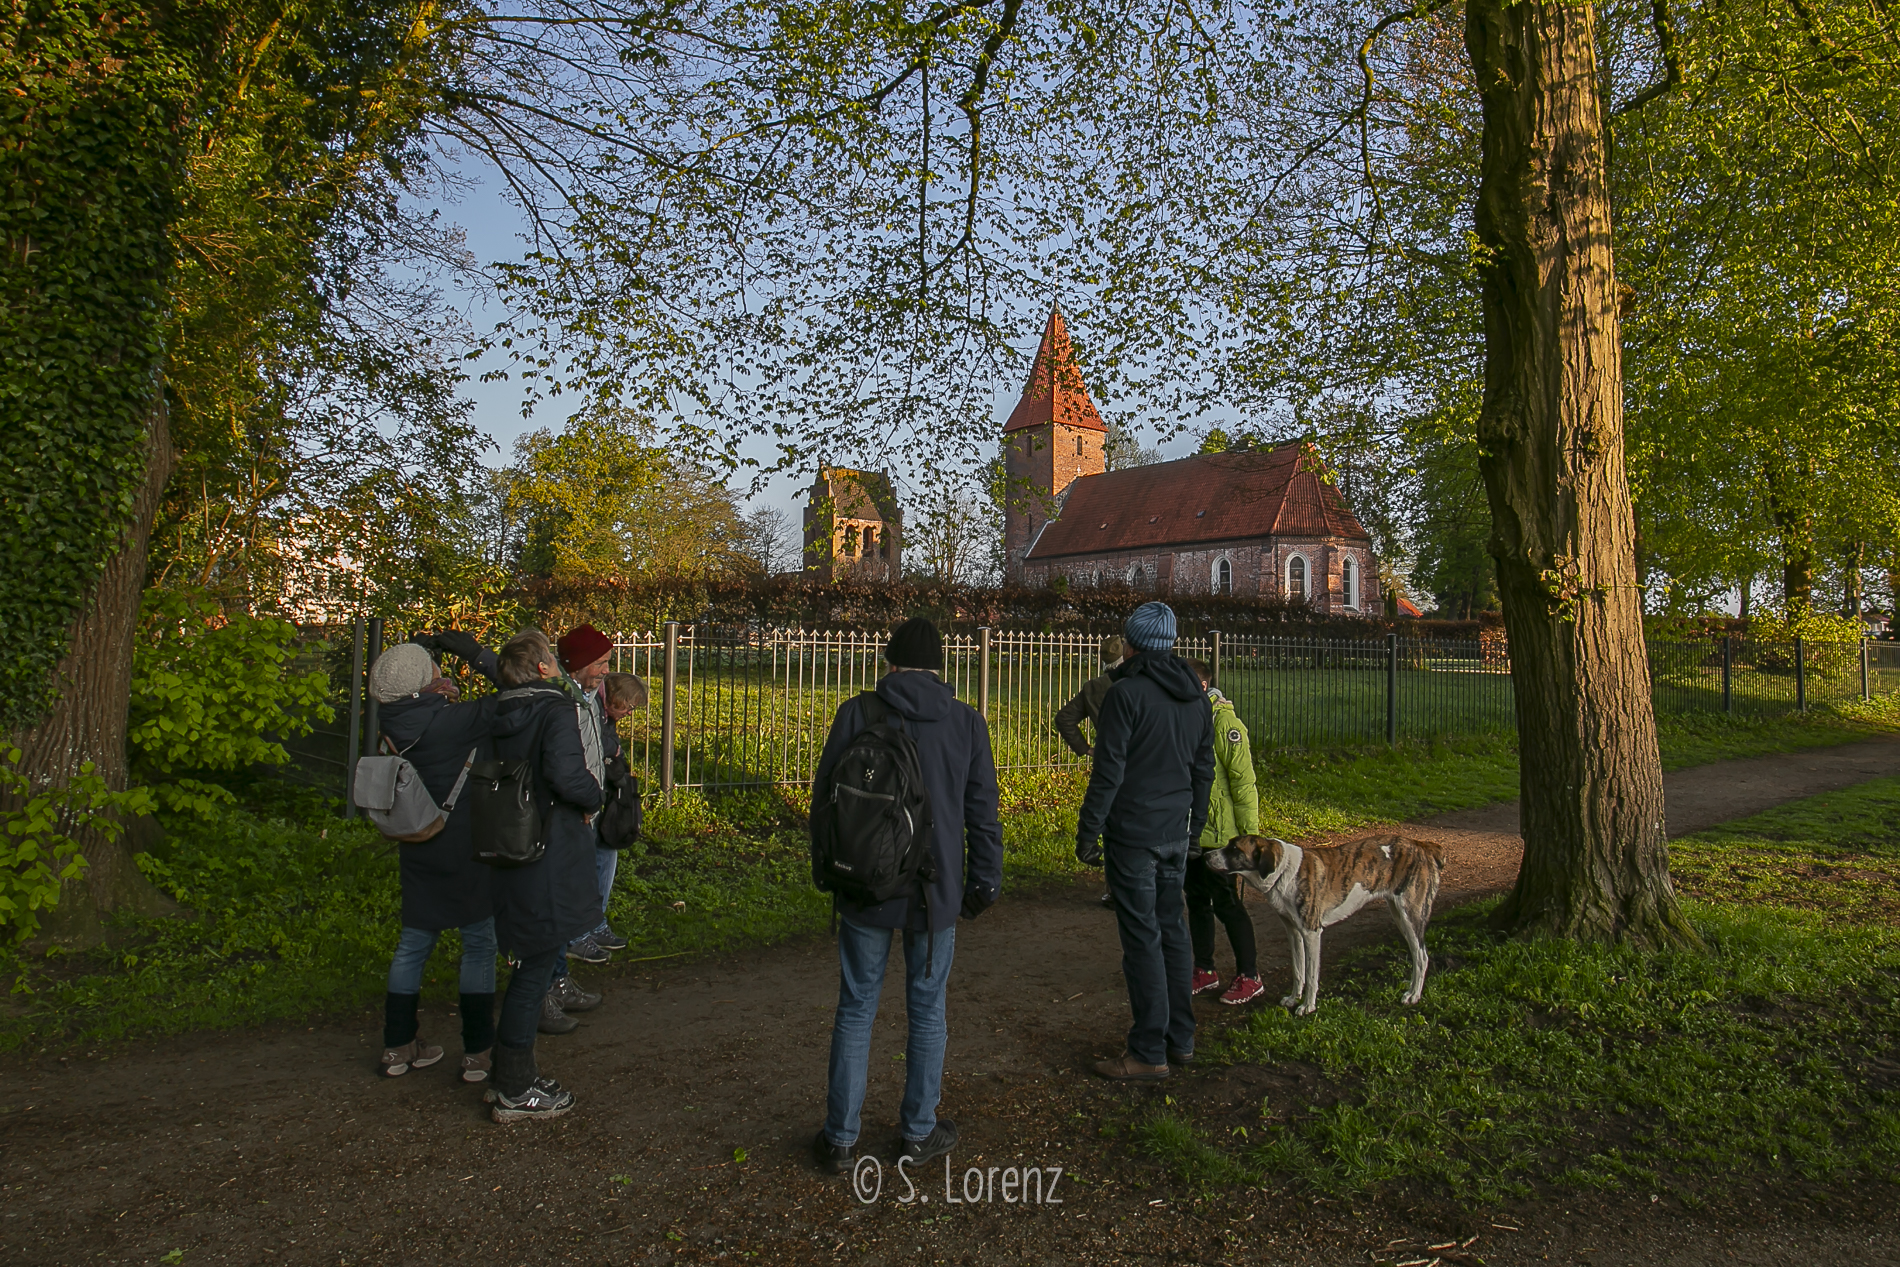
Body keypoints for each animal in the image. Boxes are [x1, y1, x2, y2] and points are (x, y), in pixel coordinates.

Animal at [1208, 832, 1444, 1018]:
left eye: (1234, 849)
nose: (1206, 855)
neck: (1285, 872)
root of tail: (1421, 845)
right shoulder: (1293, 932)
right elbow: (1298, 970)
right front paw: (1294, 998)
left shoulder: (1311, 933)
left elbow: (1311, 975)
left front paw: (1307, 1006)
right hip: (1399, 915)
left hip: (1411, 915)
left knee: (1422, 956)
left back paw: (1414, 995)